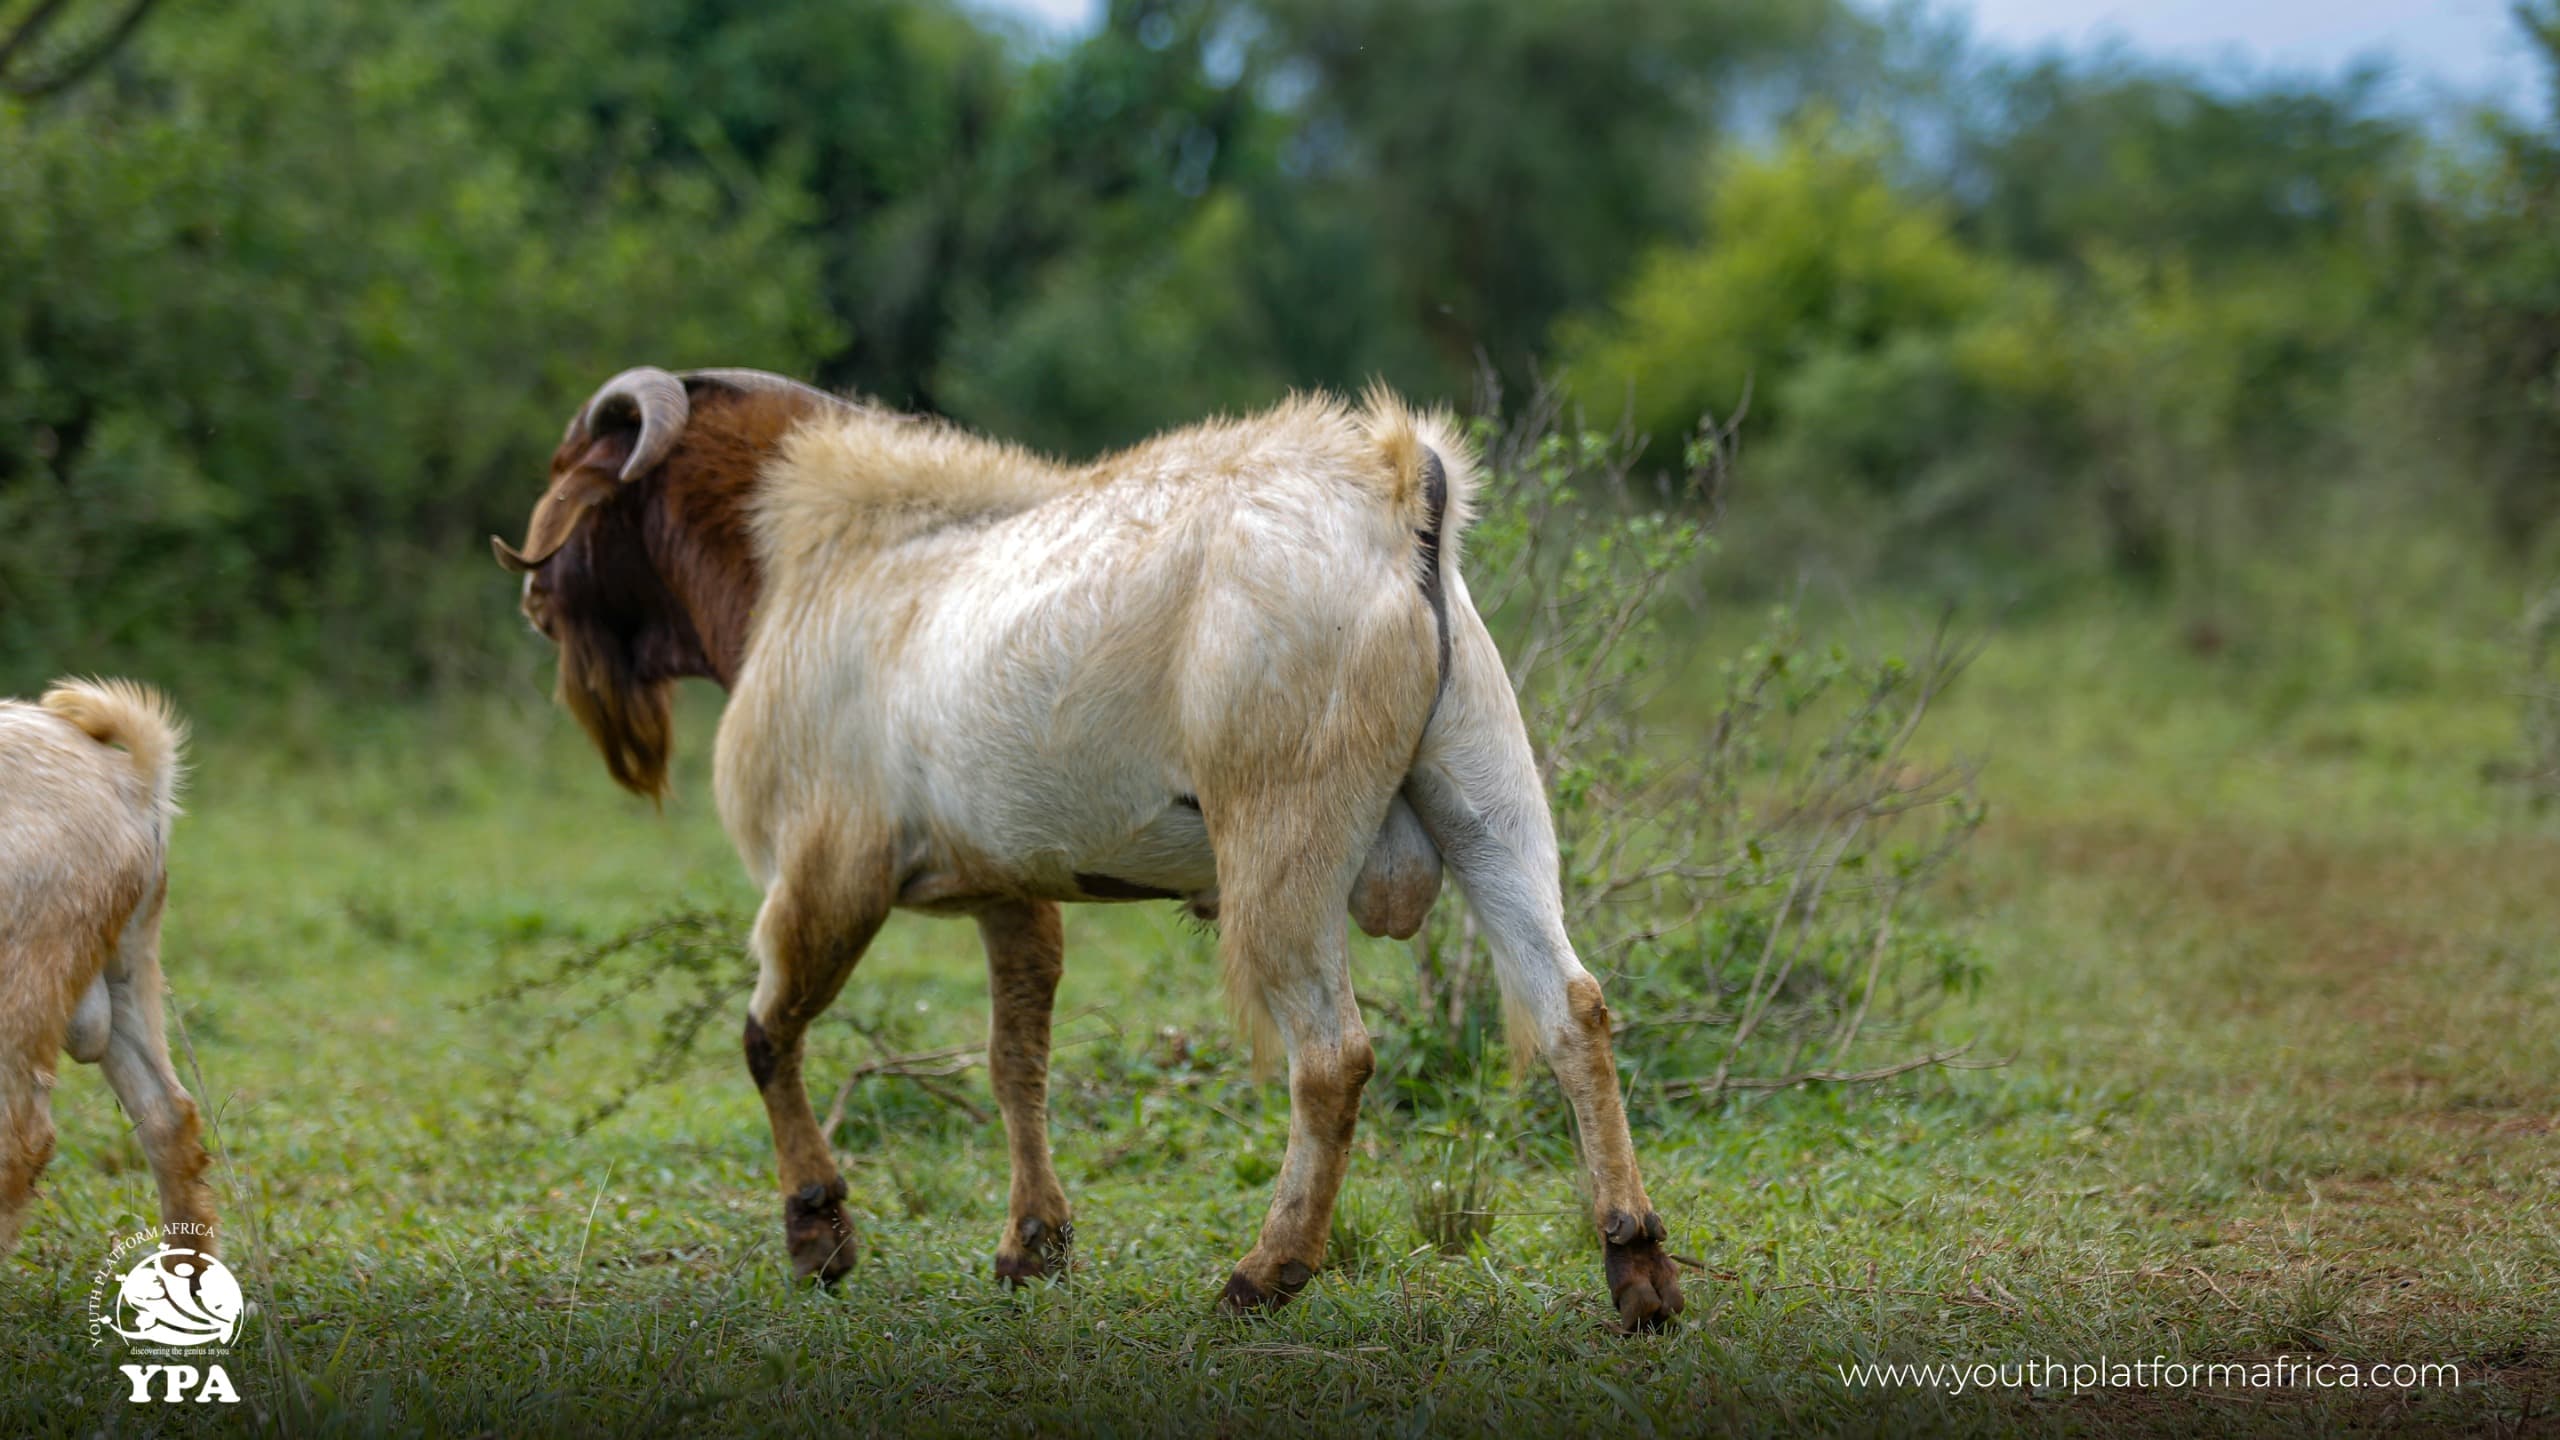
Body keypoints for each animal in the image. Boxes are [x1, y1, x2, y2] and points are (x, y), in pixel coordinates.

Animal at [495, 368, 1683, 1328]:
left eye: (577, 474)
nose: (533, 598)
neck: (820, 554)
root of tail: (1399, 491)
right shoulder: (1009, 891)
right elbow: (1014, 1061)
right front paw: (1032, 1247)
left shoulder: (829, 869)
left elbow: (766, 1034)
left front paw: (817, 1233)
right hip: (1488, 799)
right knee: (1572, 1008)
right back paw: (1637, 1268)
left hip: (1281, 836)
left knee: (1331, 1056)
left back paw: (1264, 1274)